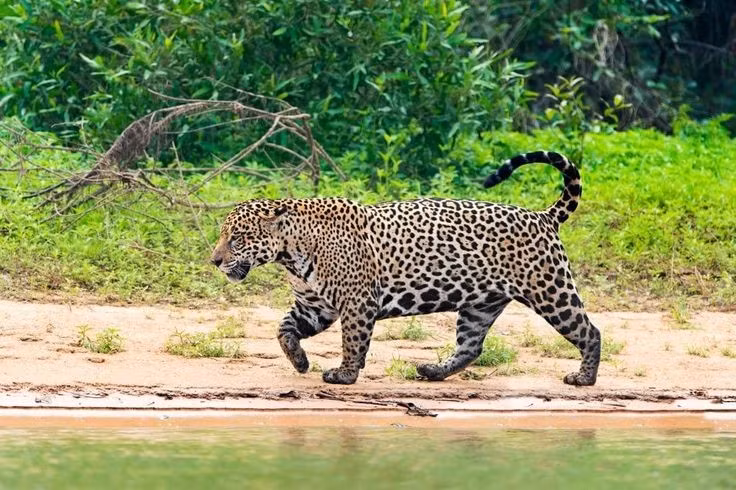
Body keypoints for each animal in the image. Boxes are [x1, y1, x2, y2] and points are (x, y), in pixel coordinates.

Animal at [210, 150, 601, 386]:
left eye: (237, 238)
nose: (214, 260)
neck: (291, 252)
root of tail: (543, 215)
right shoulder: (313, 306)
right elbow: (283, 328)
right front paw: (299, 361)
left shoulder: (356, 301)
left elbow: (353, 340)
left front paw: (345, 374)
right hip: (481, 303)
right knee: (471, 346)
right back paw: (433, 370)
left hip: (551, 291)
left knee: (591, 331)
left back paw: (584, 378)